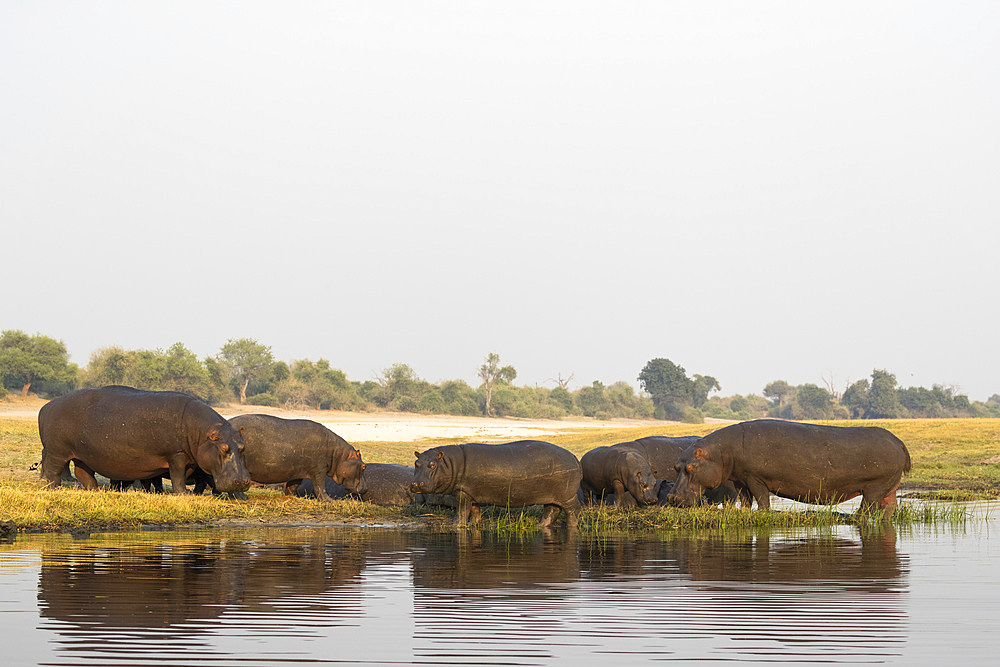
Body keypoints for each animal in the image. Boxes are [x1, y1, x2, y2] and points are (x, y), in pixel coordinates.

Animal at [38, 386, 250, 496]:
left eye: (242, 447)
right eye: (223, 448)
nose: (242, 482)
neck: (202, 432)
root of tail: (47, 406)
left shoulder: (190, 458)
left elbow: (184, 475)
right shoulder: (176, 455)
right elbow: (178, 476)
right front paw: (183, 494)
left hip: (84, 455)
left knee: (83, 473)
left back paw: (96, 491)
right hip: (57, 452)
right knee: (52, 470)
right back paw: (53, 489)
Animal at [228, 414, 368, 504]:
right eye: (363, 466)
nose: (366, 488)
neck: (339, 455)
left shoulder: (297, 470)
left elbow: (292, 485)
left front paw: (292, 496)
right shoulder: (319, 470)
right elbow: (320, 486)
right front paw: (329, 501)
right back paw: (243, 497)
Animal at [410, 440, 584, 528]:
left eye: (432, 464)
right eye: (416, 463)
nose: (416, 484)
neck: (449, 462)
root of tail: (575, 458)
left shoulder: (463, 493)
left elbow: (462, 511)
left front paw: (455, 525)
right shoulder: (472, 493)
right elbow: (475, 510)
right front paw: (474, 523)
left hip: (567, 496)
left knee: (573, 510)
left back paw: (571, 527)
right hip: (551, 495)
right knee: (552, 510)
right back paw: (540, 526)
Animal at [664, 420, 916, 516]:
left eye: (690, 468)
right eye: (676, 466)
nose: (672, 498)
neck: (719, 453)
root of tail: (899, 442)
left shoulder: (756, 478)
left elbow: (762, 499)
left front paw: (762, 513)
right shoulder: (740, 480)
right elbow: (745, 500)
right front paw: (745, 512)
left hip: (874, 486)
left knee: (867, 510)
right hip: (890, 486)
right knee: (889, 507)